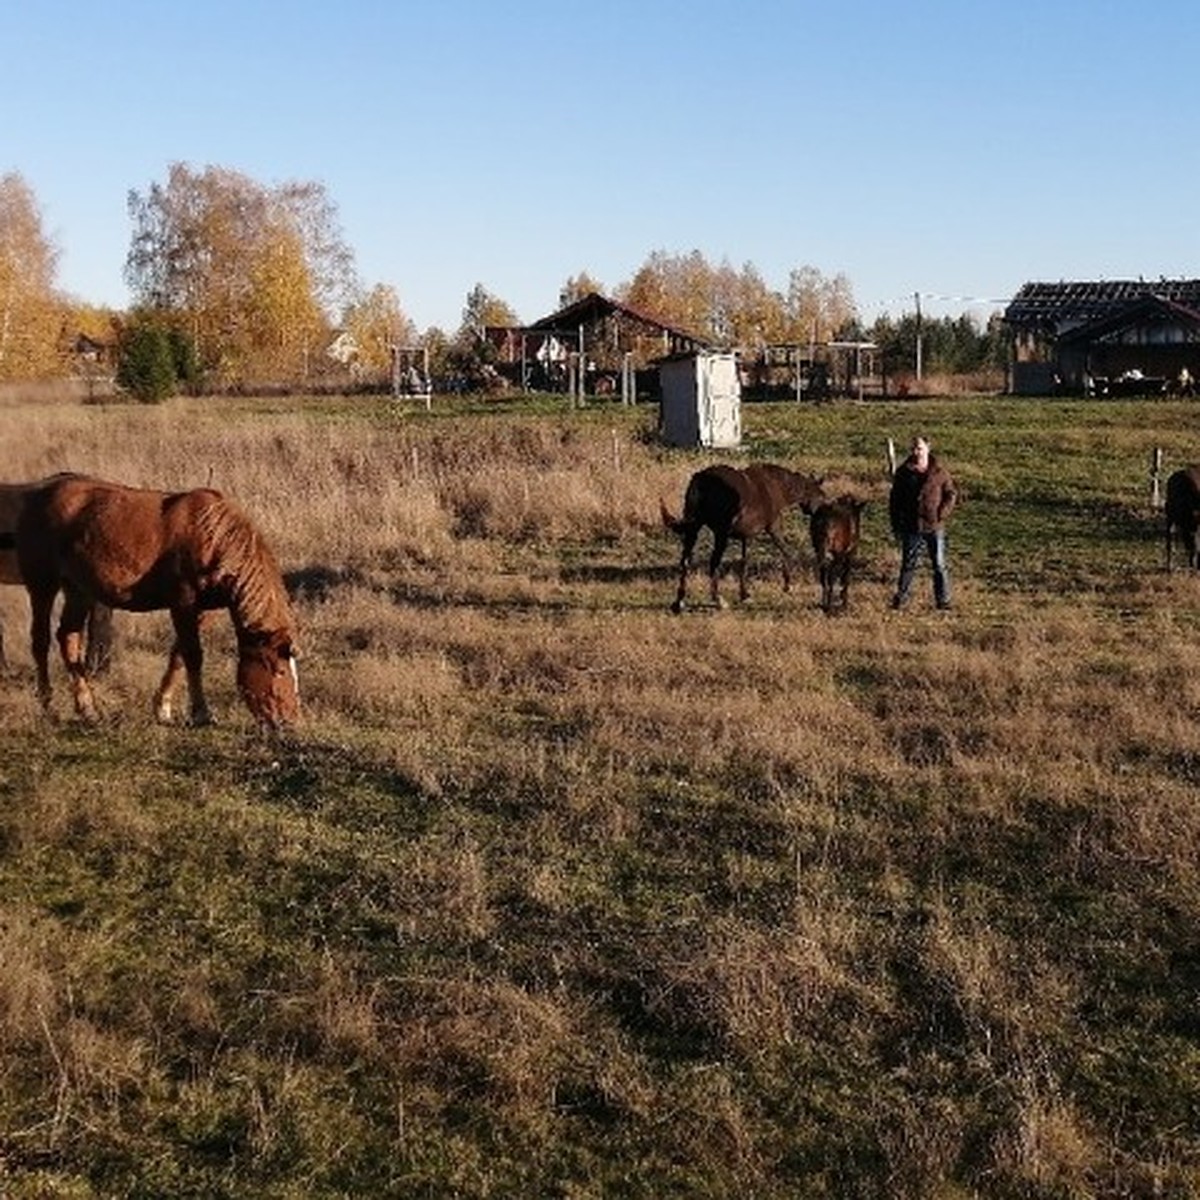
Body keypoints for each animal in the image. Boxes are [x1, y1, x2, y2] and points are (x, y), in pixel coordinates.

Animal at [15, 472, 300, 724]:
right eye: (279, 670)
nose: (289, 720)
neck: (213, 536)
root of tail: (37, 495)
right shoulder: (182, 603)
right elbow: (193, 655)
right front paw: (201, 713)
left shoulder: (201, 610)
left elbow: (178, 656)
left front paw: (163, 707)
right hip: (43, 585)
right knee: (40, 642)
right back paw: (48, 707)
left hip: (79, 589)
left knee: (68, 637)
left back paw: (87, 709)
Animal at [657, 458, 825, 609]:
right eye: (821, 495)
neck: (775, 487)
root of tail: (702, 478)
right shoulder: (773, 528)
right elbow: (787, 552)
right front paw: (787, 585)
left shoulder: (747, 536)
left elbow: (744, 561)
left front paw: (744, 594)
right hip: (720, 535)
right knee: (713, 563)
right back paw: (718, 600)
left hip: (694, 528)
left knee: (685, 560)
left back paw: (679, 600)